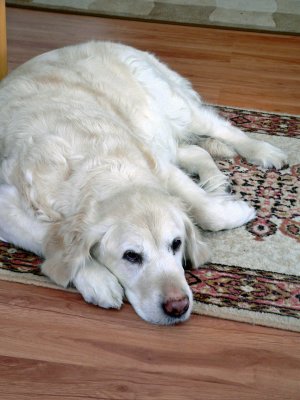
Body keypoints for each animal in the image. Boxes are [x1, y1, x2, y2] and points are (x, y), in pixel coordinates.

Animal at [0, 41, 288, 324]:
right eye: (131, 256)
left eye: (176, 244)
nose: (178, 306)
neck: (102, 168)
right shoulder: (7, 204)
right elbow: (47, 238)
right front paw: (97, 279)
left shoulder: (158, 166)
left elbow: (206, 211)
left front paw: (238, 211)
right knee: (196, 151)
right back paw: (216, 181)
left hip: (175, 108)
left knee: (224, 130)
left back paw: (265, 152)